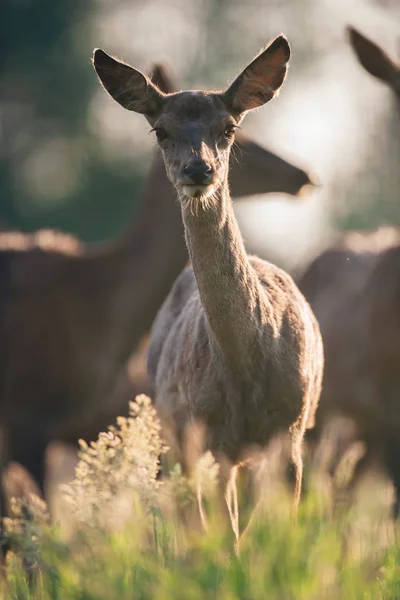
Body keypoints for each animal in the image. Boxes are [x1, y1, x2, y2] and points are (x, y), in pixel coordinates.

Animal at [94, 34, 324, 540]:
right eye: (160, 131)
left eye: (229, 127)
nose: (198, 169)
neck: (245, 366)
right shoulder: (208, 435)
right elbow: (226, 537)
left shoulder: (291, 431)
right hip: (173, 435)